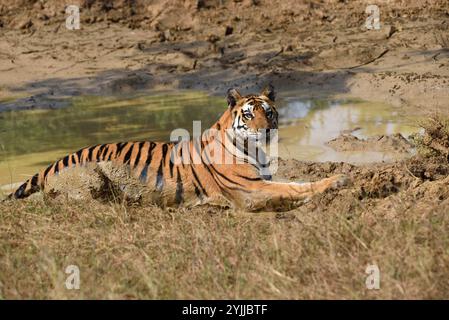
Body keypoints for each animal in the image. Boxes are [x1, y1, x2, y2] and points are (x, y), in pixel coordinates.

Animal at [6, 85, 346, 211]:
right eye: (249, 114)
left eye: (269, 112)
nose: (267, 129)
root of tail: (53, 162)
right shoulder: (251, 191)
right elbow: (293, 188)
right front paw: (336, 181)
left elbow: (296, 183)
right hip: (92, 177)